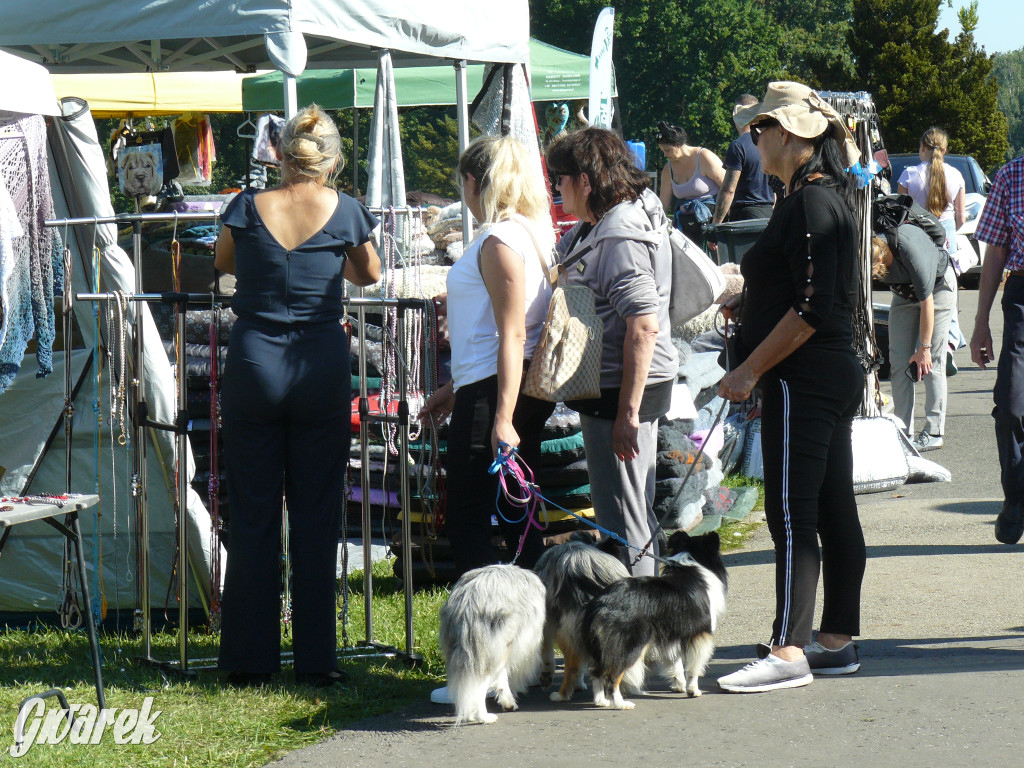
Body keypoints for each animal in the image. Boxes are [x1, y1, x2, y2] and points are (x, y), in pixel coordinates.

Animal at [585, 532, 729, 712]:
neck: (693, 560)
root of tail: (602, 602)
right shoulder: (699, 634)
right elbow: (693, 666)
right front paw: (692, 690)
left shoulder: (672, 634)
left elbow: (675, 662)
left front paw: (679, 685)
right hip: (628, 646)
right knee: (612, 676)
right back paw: (621, 704)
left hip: (599, 646)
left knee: (597, 673)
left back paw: (600, 701)